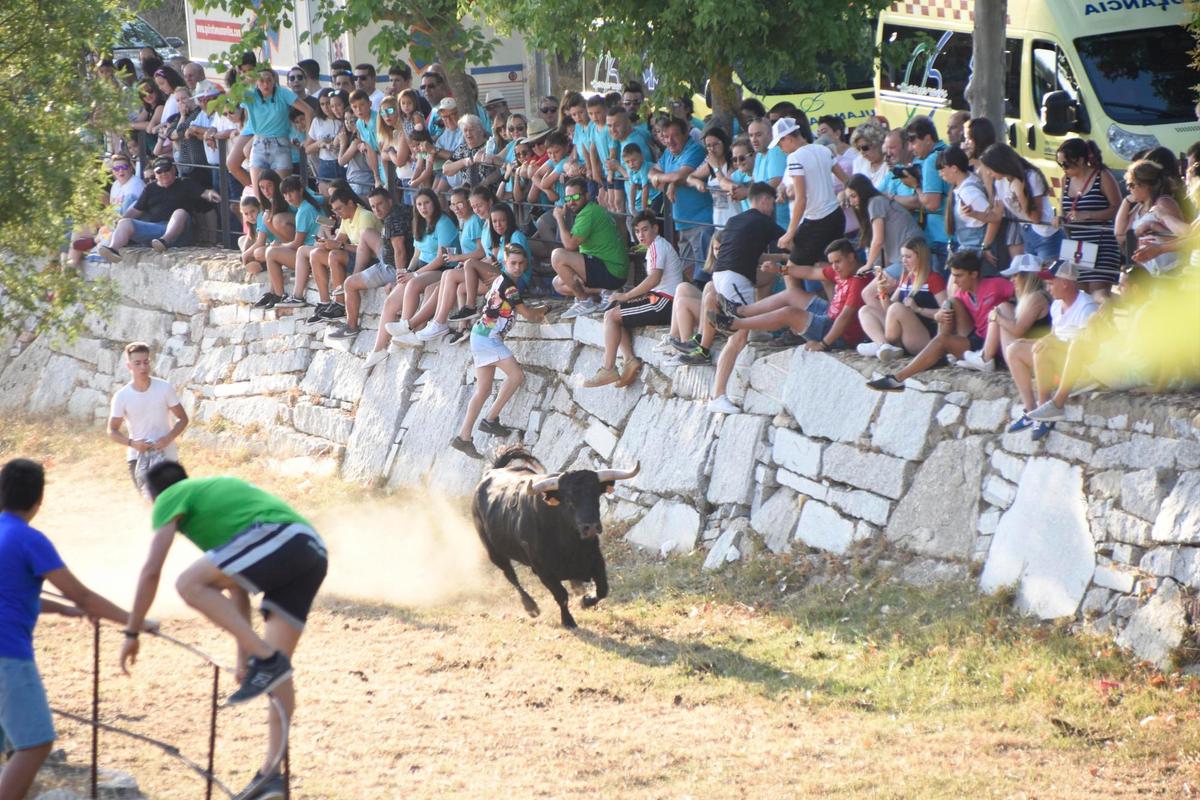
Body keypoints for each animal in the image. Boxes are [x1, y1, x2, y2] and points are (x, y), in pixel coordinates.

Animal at [468, 448, 638, 628]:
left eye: (596, 496)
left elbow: (602, 589)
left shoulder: (596, 559)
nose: (591, 527)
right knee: (511, 576)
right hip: (494, 552)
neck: (570, 543)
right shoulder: (544, 571)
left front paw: (585, 600)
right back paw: (531, 607)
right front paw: (568, 620)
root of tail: (491, 472)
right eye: (569, 500)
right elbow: (561, 596)